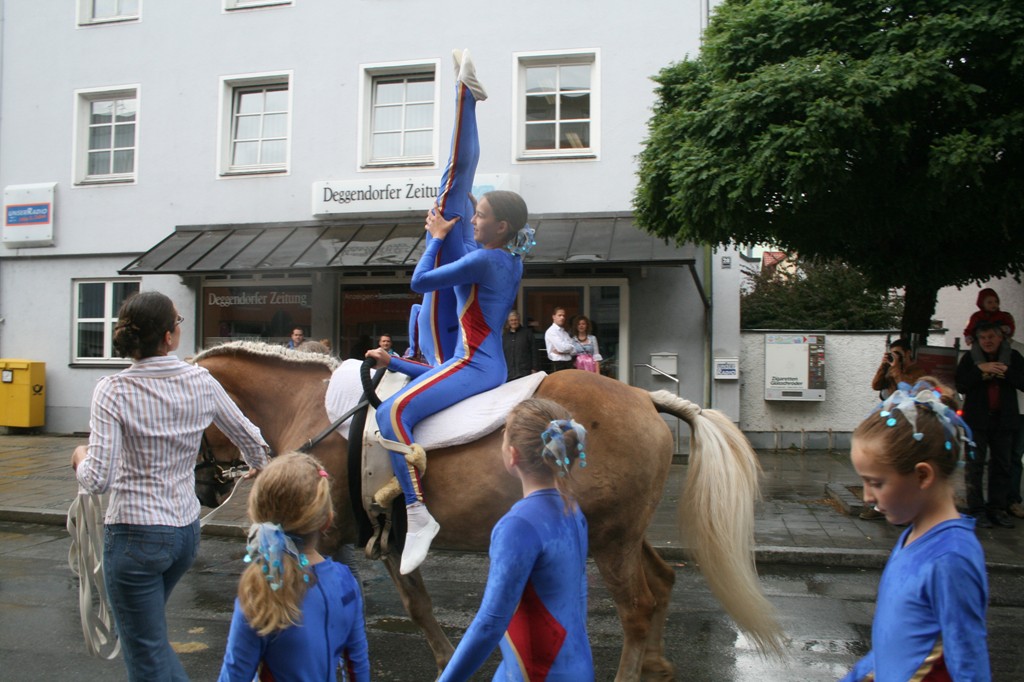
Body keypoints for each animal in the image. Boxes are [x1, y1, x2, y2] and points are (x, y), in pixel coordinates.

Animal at [193, 341, 783, 680]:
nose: (202, 489)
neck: (315, 409)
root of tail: (643, 398)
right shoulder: (386, 543)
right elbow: (416, 605)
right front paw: (444, 660)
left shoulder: (322, 536)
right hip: (625, 532)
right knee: (662, 582)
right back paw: (658, 663)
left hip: (611, 540)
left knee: (636, 608)